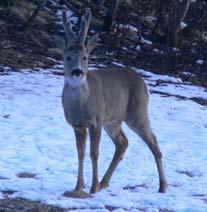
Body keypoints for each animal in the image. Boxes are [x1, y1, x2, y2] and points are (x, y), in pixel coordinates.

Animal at [61, 8, 167, 197]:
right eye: (68, 57)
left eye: (85, 57)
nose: (77, 72)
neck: (80, 106)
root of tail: (143, 82)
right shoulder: (77, 125)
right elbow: (80, 154)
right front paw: (78, 186)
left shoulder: (95, 121)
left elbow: (94, 153)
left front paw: (92, 187)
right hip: (113, 120)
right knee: (123, 143)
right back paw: (104, 182)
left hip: (137, 113)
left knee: (153, 141)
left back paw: (163, 186)